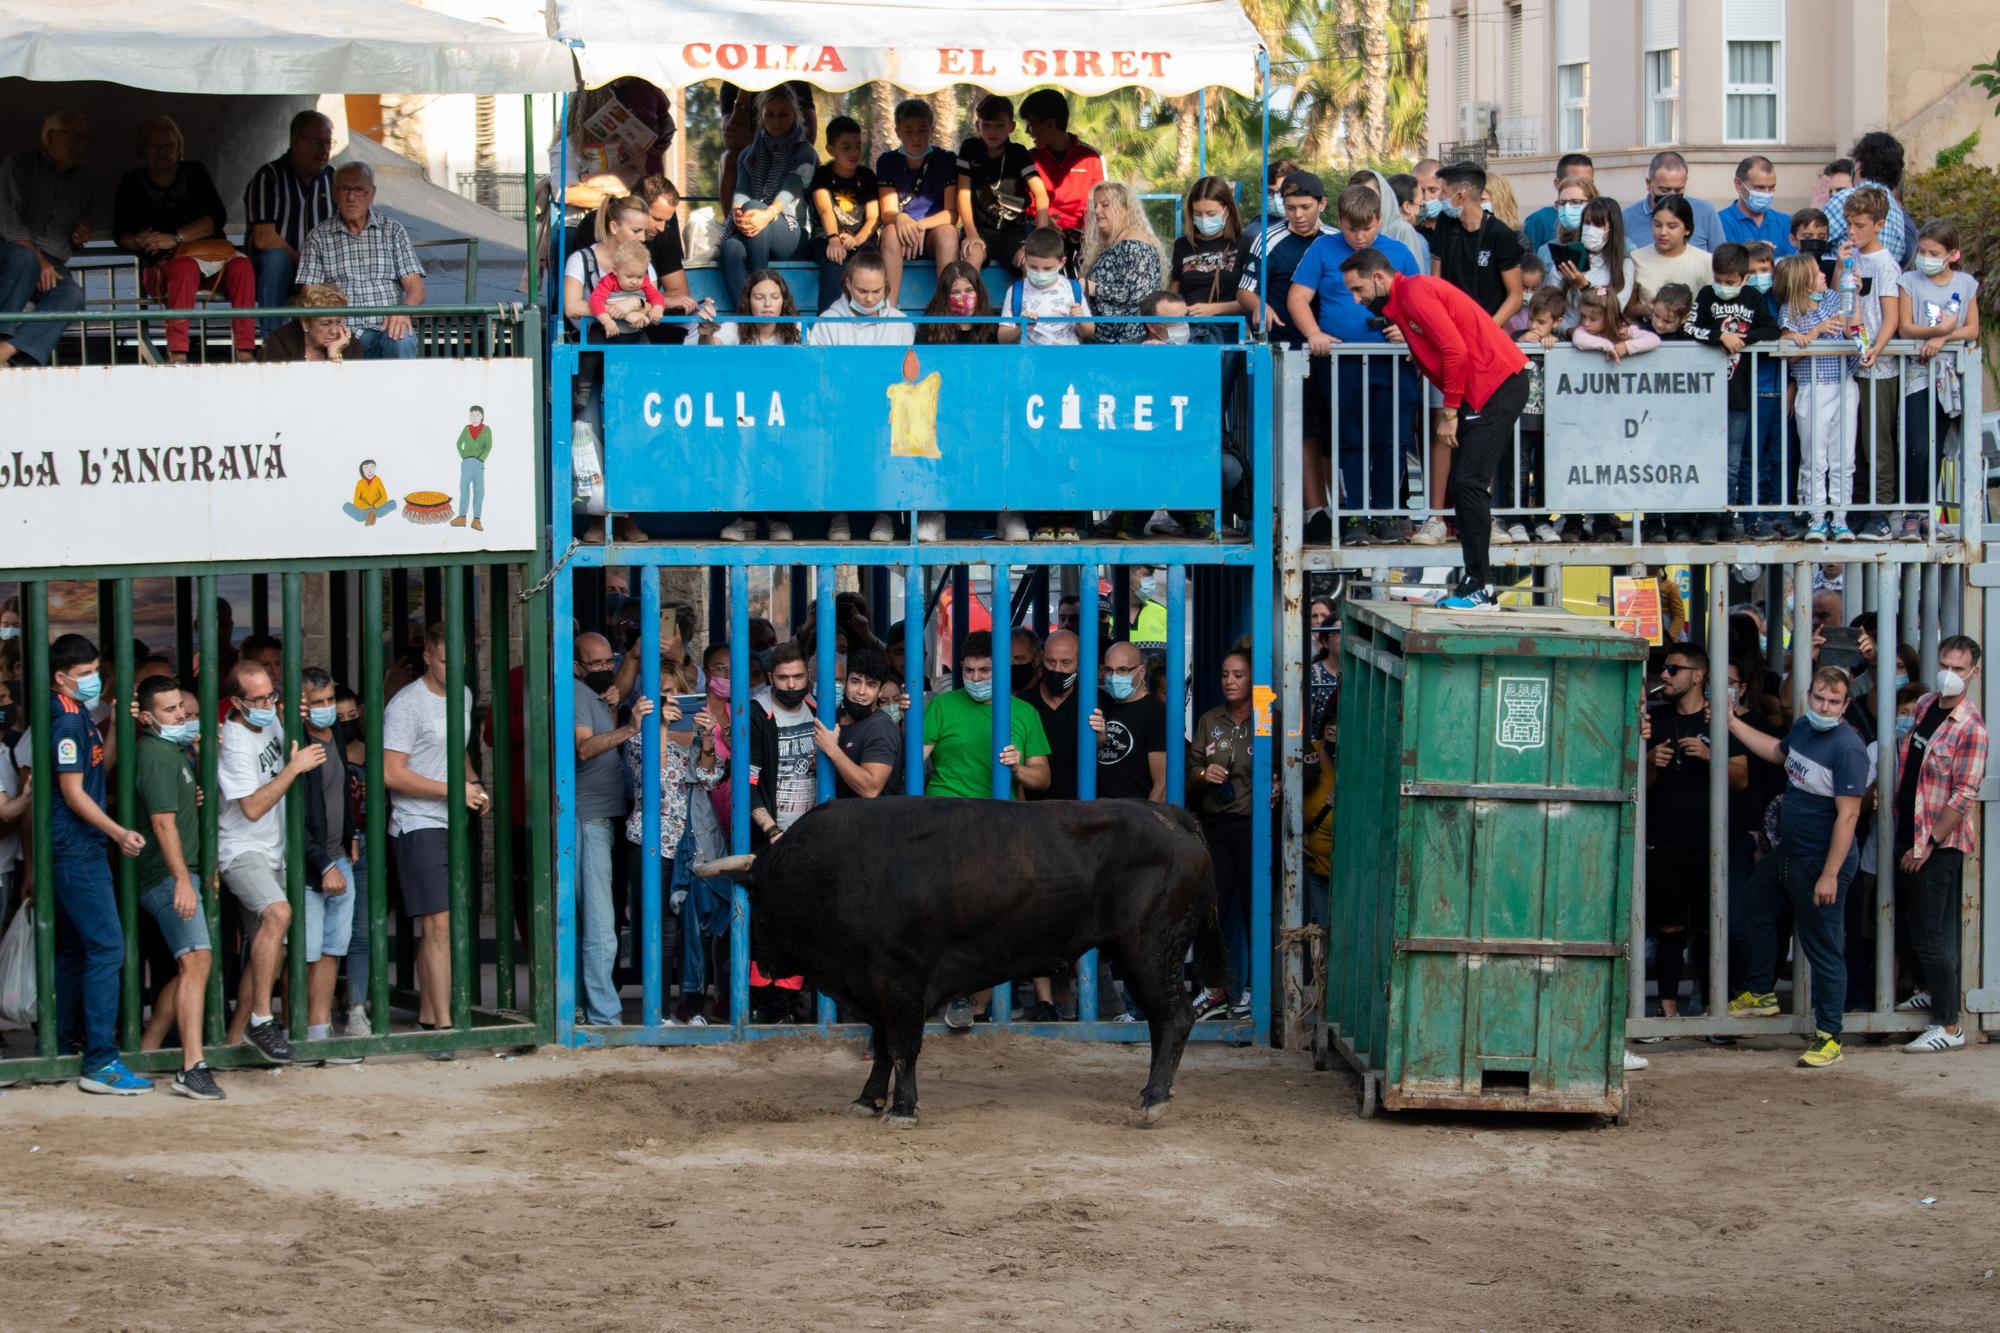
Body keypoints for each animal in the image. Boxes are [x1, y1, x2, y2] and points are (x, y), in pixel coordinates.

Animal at [696, 792, 1224, 1128]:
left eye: (758, 901)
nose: (763, 961)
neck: (832, 871)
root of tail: (1171, 814)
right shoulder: (874, 987)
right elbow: (881, 1047)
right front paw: (868, 1100)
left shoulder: (897, 982)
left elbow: (902, 1048)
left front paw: (902, 1109)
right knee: (1160, 1021)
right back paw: (1153, 1092)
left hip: (1150, 951)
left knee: (1174, 1017)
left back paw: (1154, 1100)